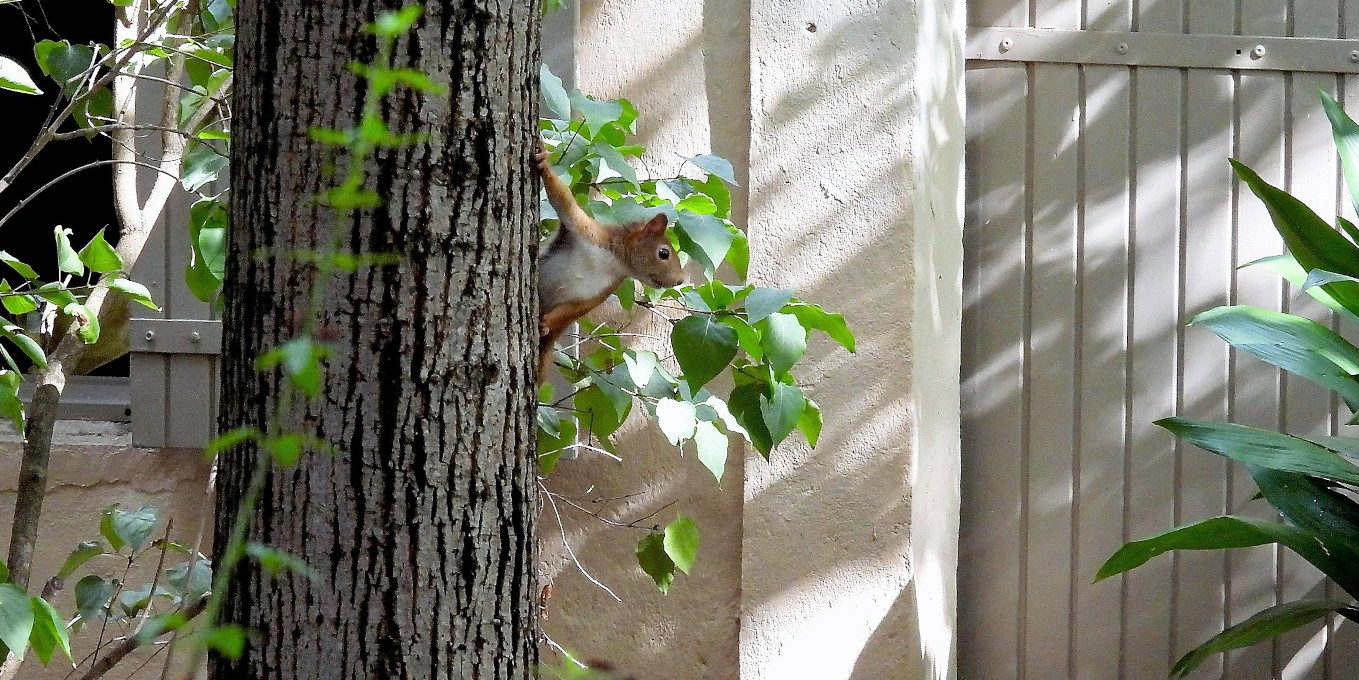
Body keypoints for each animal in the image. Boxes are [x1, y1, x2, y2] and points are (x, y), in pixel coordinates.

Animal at [532, 140, 684, 386]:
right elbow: (563, 201)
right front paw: (545, 164)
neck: (611, 261)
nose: (680, 280)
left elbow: (572, 310)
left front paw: (546, 322)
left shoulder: (600, 292)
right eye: (664, 253)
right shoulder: (586, 231)